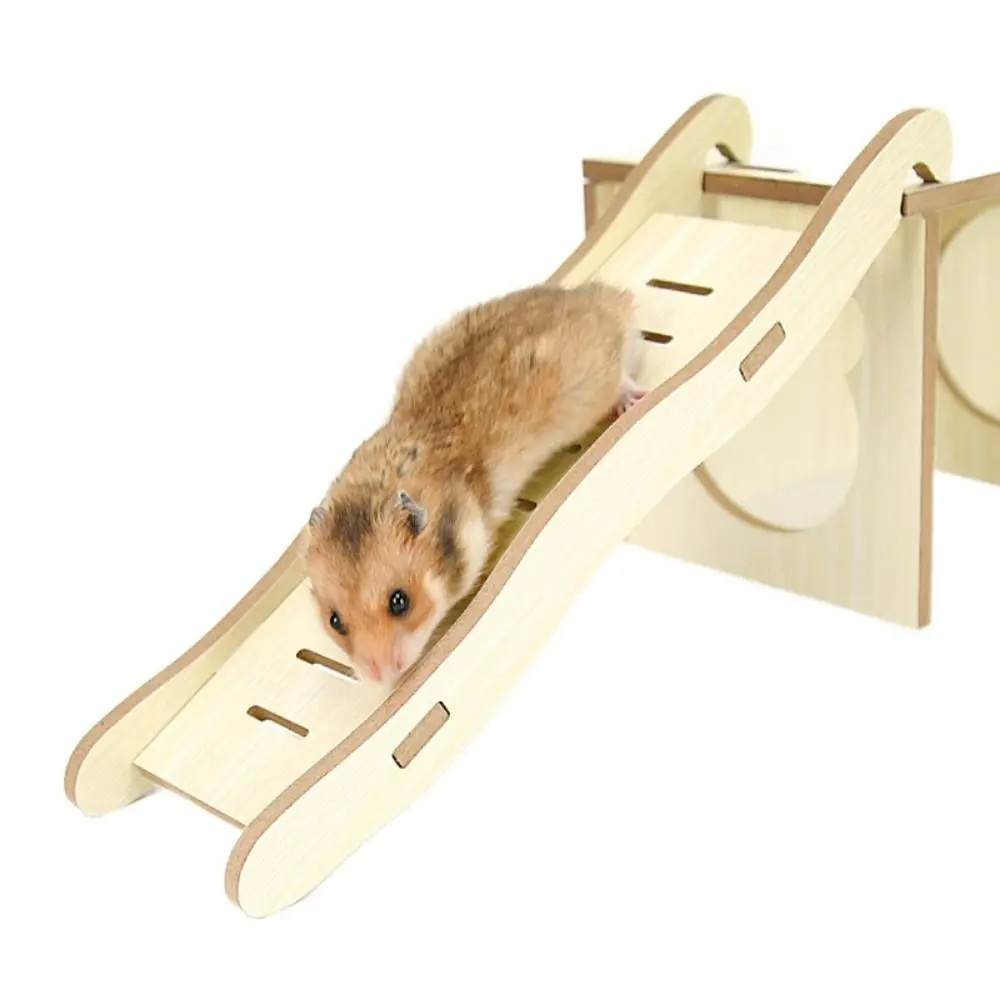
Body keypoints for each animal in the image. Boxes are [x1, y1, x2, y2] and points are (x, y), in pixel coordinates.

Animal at [305, 281, 644, 684]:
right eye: (335, 621)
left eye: (400, 601)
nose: (382, 677)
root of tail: (605, 296)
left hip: (588, 383)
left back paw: (632, 399)